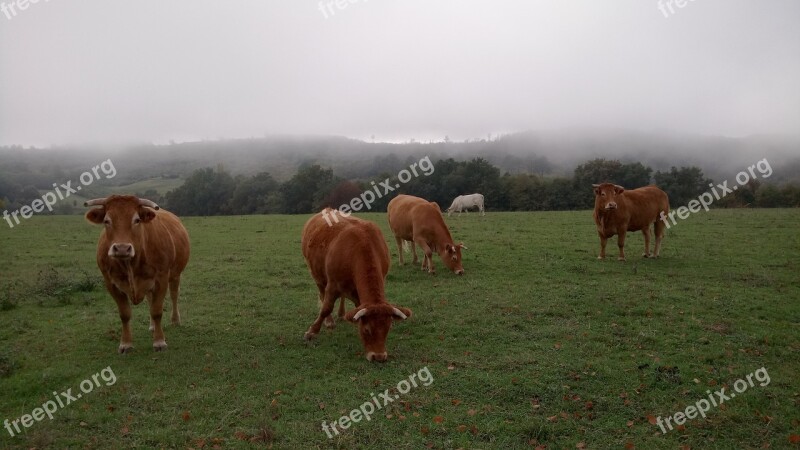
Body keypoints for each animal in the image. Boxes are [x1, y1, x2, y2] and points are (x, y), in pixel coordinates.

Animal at [84, 195, 191, 354]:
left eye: (137, 220)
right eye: (107, 221)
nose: (122, 248)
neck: (130, 264)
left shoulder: (161, 279)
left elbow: (157, 311)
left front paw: (159, 342)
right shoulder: (110, 283)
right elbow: (125, 314)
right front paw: (125, 344)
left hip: (175, 274)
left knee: (174, 295)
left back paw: (175, 320)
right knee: (150, 299)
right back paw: (152, 326)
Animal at [300, 208, 412, 362]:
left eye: (387, 329)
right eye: (367, 330)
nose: (379, 356)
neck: (362, 246)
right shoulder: (332, 285)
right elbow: (326, 308)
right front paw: (312, 331)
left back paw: (341, 313)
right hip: (317, 276)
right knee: (322, 295)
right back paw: (329, 321)